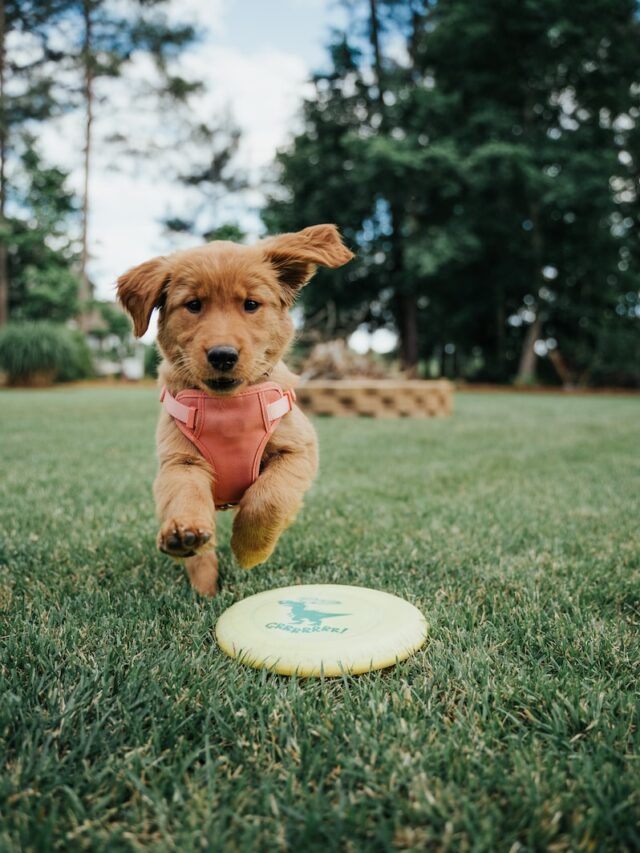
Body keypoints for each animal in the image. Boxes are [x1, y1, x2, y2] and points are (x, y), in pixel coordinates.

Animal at [117, 225, 352, 592]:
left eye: (251, 304)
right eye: (193, 305)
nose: (222, 355)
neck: (228, 407)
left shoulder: (298, 450)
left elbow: (267, 498)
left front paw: (249, 550)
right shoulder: (179, 461)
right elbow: (184, 493)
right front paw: (185, 532)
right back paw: (204, 582)